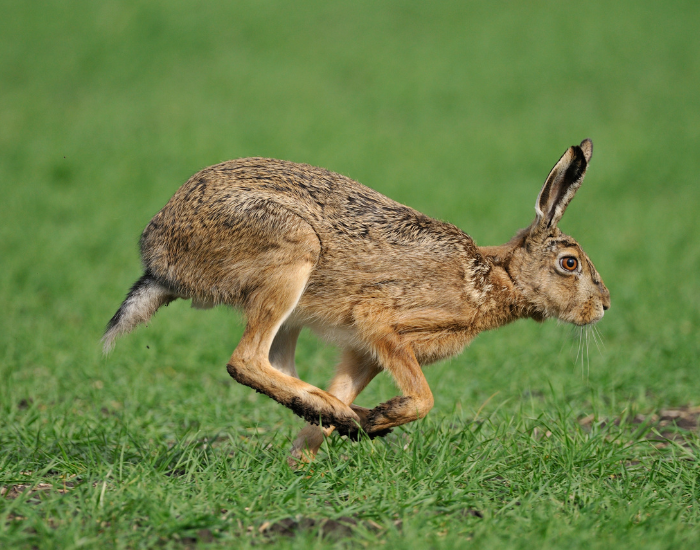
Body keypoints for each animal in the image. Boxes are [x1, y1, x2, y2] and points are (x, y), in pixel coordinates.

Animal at [103, 139, 610, 463]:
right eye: (569, 264)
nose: (604, 306)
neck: (493, 278)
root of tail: (160, 255)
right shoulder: (382, 323)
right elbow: (424, 398)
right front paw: (378, 418)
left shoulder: (365, 351)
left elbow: (346, 388)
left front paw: (310, 454)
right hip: (292, 253)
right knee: (245, 360)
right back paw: (339, 412)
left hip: (291, 307)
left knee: (277, 365)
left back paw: (334, 413)